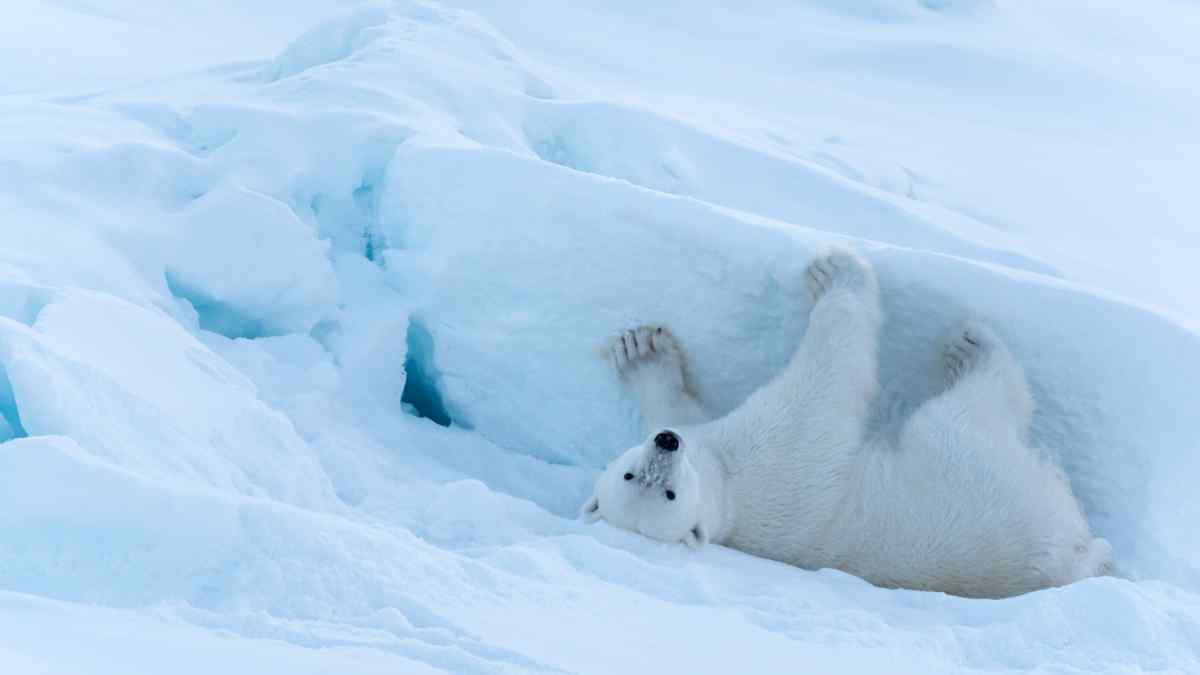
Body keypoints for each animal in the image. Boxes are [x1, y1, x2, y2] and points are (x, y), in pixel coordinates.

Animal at [578, 246, 1104, 593]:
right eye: (664, 493)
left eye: (629, 473)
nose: (666, 444)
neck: (724, 492)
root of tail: (1077, 554)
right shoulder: (777, 452)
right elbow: (827, 379)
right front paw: (837, 271)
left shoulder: (712, 445)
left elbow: (681, 406)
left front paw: (640, 350)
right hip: (975, 473)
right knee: (962, 413)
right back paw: (971, 348)